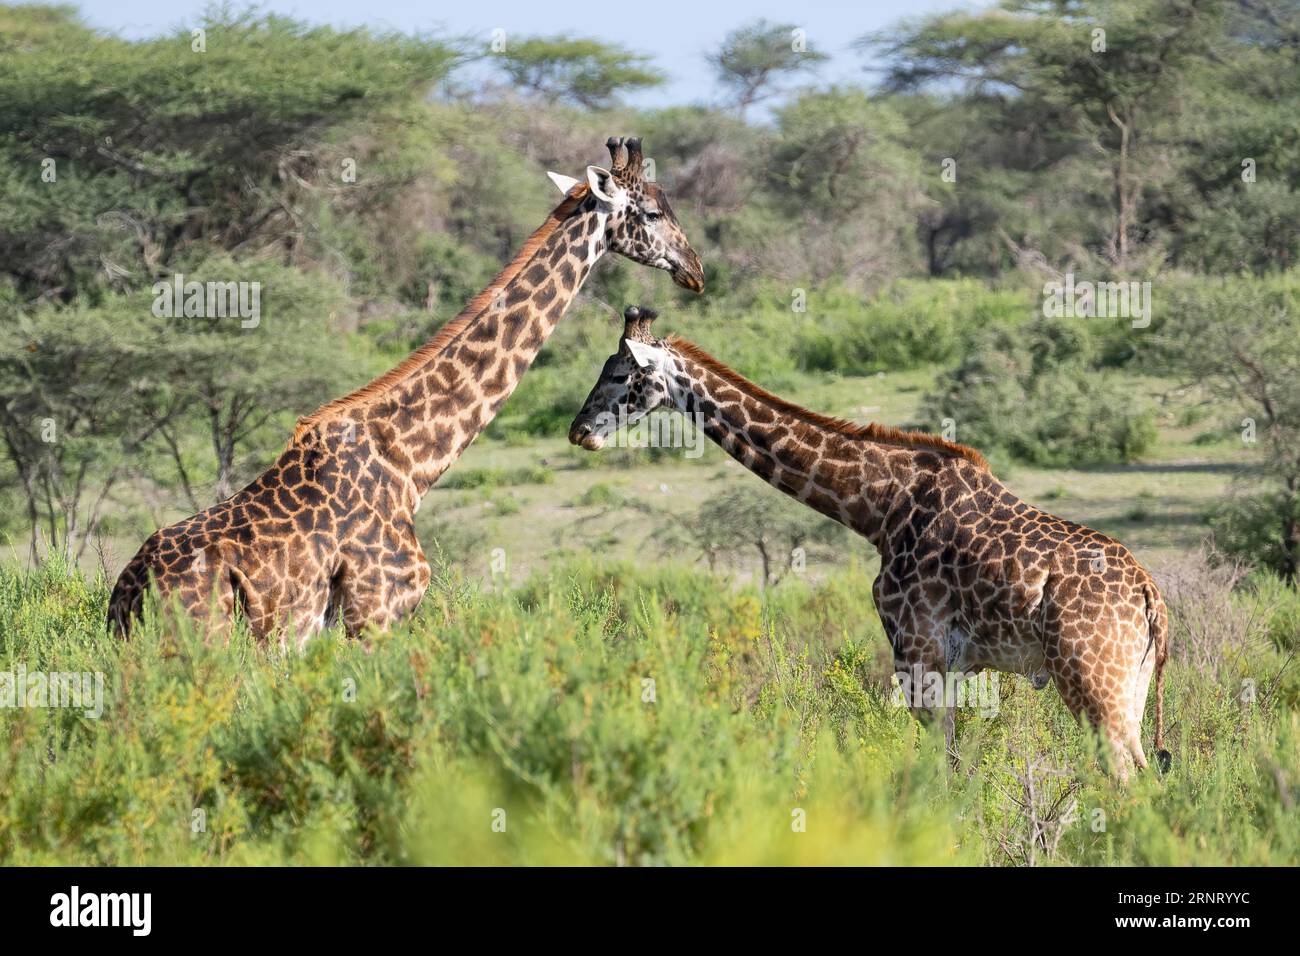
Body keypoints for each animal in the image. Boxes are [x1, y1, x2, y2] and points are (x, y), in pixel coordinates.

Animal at [107, 136, 707, 642]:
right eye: (652, 212)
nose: (696, 269)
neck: (411, 464)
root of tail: (131, 590)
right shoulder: (375, 613)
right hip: (204, 640)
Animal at [566, 306, 1170, 780]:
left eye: (619, 373)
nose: (579, 431)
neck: (879, 508)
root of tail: (1152, 600)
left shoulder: (918, 649)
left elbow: (941, 769)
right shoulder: (949, 663)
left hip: (1090, 677)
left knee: (1125, 778)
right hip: (1131, 686)